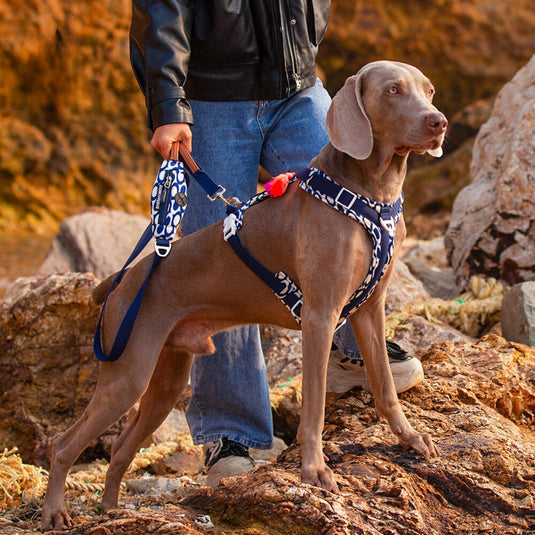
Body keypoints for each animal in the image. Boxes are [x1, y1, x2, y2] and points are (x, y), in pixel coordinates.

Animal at [40, 60, 448, 528]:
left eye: (428, 90)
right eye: (393, 90)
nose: (438, 122)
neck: (371, 194)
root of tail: (122, 279)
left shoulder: (370, 309)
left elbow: (385, 388)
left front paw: (410, 438)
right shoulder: (321, 315)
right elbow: (313, 409)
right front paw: (314, 471)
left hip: (165, 377)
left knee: (122, 447)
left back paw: (111, 510)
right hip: (127, 372)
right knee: (65, 445)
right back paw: (55, 513)